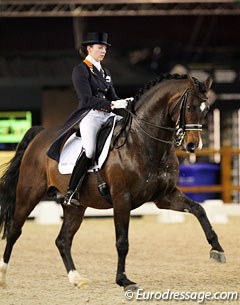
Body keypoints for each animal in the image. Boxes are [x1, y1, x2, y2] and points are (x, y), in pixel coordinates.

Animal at [0, 72, 226, 288]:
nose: (192, 146)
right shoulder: (122, 199)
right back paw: (3, 276)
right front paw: (123, 280)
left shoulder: (164, 197)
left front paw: (217, 250)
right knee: (14, 231)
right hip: (29, 194)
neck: (144, 143)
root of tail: (40, 135)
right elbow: (122, 242)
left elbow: (199, 209)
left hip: (75, 206)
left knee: (63, 240)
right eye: (189, 106)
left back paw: (77, 279)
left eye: (206, 109)